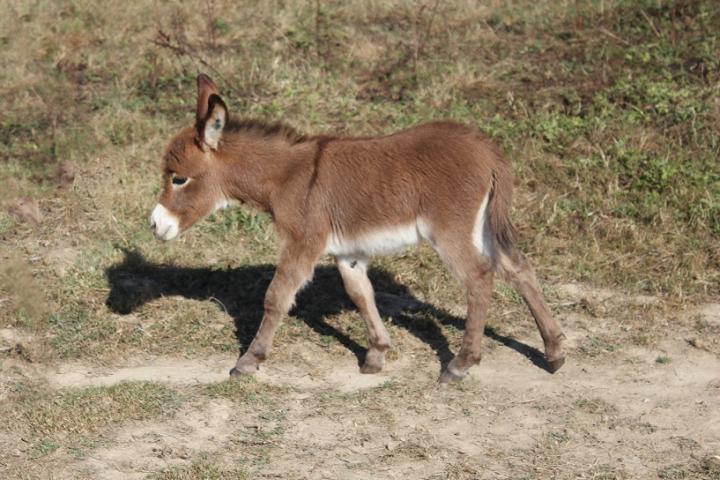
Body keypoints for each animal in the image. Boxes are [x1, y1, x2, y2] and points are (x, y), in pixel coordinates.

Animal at [150, 75, 568, 382]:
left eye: (179, 179)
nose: (154, 225)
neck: (289, 177)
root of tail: (488, 150)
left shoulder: (303, 242)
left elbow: (276, 297)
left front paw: (248, 362)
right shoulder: (348, 252)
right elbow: (361, 295)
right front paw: (376, 355)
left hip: (450, 231)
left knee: (480, 279)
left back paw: (460, 365)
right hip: (482, 225)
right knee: (518, 268)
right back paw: (554, 352)